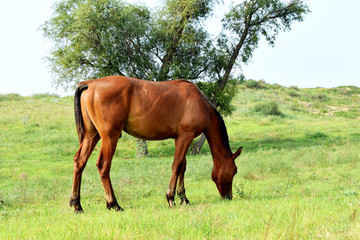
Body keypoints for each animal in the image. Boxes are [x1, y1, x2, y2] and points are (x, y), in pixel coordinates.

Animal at [69, 76, 242, 213]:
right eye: (234, 171)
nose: (229, 197)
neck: (201, 103)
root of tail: (91, 83)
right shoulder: (186, 136)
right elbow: (177, 165)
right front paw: (171, 198)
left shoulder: (180, 138)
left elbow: (182, 167)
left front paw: (183, 198)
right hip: (109, 136)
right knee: (103, 166)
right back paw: (114, 204)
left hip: (92, 135)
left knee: (80, 162)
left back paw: (77, 205)